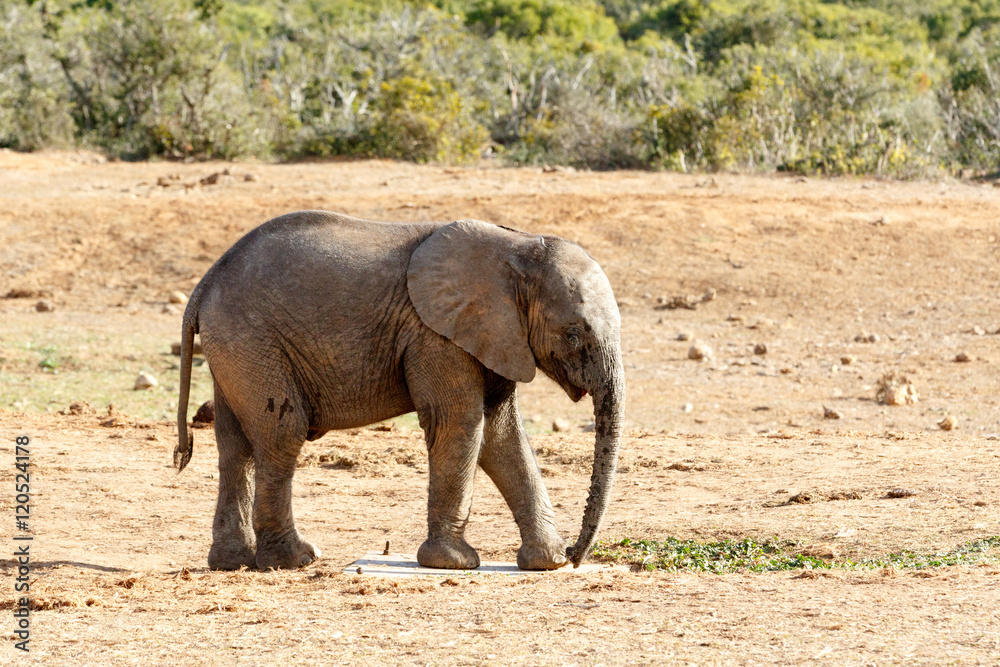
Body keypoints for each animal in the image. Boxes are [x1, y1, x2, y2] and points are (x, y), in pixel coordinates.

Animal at [174, 211, 625, 572]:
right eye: (573, 335)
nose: (577, 554)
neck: (516, 247)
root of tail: (204, 284)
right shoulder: (435, 334)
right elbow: (461, 422)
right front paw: (454, 563)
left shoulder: (493, 335)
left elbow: (502, 435)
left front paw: (548, 563)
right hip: (251, 340)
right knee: (282, 434)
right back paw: (295, 560)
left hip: (234, 348)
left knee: (236, 449)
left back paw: (231, 563)